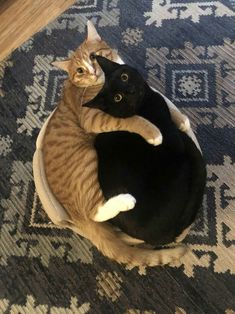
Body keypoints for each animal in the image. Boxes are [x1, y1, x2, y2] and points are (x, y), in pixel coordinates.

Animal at [42, 20, 187, 266]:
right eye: (79, 71)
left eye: (93, 56)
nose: (92, 71)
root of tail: (74, 218)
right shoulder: (94, 117)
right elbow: (133, 120)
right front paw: (154, 133)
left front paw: (183, 121)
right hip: (89, 162)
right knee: (95, 212)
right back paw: (125, 201)